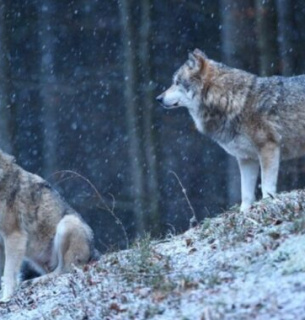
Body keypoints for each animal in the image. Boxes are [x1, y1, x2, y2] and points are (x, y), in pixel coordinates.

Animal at [0, 151, 98, 302]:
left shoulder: (14, 235)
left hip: (67, 224)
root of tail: (94, 252)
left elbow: (8, 273)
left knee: (64, 270)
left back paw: (35, 281)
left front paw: (5, 299)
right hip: (34, 259)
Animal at [157, 48, 305, 212]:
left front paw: (267, 204)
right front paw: (244, 212)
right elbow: (245, 194)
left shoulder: (268, 148)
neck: (233, 101)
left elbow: (267, 187)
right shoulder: (246, 158)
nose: (158, 98)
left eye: (177, 82)